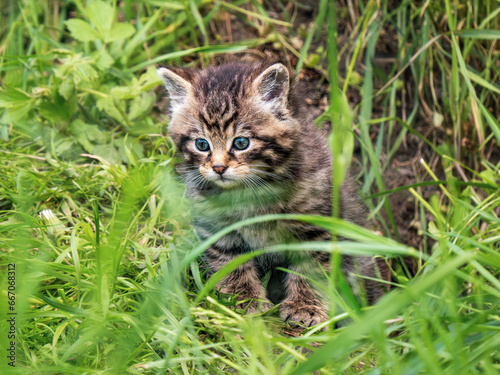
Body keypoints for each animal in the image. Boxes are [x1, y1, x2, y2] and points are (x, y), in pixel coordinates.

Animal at [158, 61, 384, 326]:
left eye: (241, 142)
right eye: (202, 144)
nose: (218, 168)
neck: (250, 192)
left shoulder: (316, 226)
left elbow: (311, 269)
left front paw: (305, 306)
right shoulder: (217, 229)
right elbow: (232, 265)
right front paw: (244, 302)